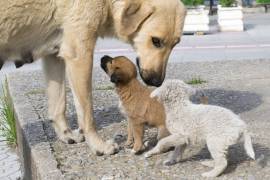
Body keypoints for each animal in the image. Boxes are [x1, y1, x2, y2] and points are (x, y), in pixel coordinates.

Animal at [0, 0, 186, 155]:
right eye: (156, 41)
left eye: (175, 44)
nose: (157, 82)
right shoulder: (80, 54)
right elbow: (86, 112)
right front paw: (98, 145)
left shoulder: (55, 55)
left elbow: (58, 105)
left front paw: (66, 135)